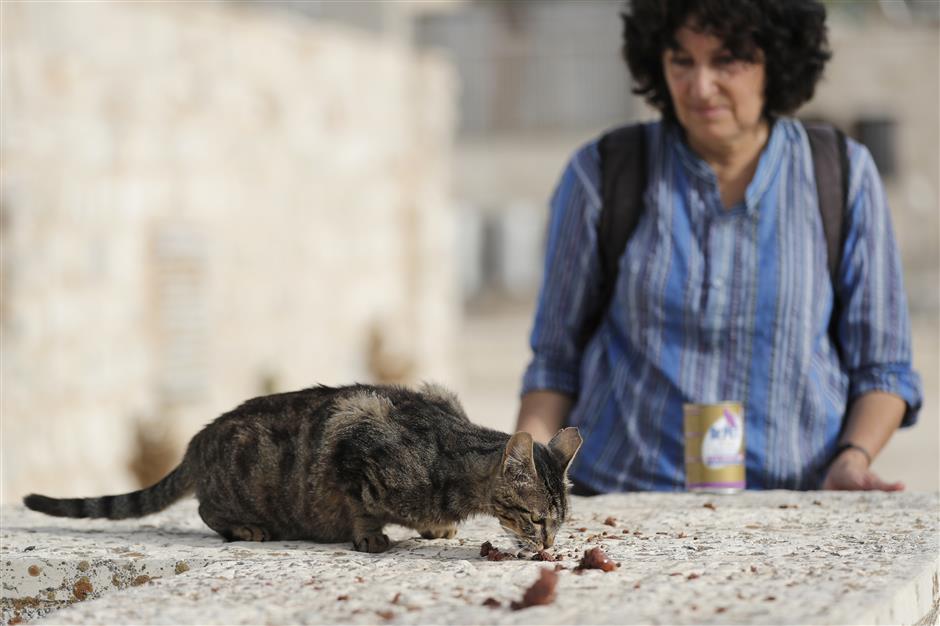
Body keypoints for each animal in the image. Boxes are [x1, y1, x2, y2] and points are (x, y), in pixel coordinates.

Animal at [23, 380, 580, 552]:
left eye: (560, 522)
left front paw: (436, 526)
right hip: (236, 482)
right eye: (536, 519)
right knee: (205, 509)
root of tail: (199, 439)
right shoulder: (356, 440)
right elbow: (362, 509)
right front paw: (371, 536)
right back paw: (246, 527)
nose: (548, 546)